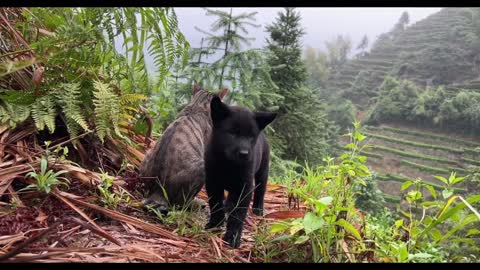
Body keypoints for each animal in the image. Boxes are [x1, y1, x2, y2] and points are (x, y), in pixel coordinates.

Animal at [203, 95, 278, 249]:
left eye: (251, 136)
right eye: (232, 132)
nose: (244, 153)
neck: (229, 164)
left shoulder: (245, 186)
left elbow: (238, 215)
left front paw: (233, 237)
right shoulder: (212, 181)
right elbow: (215, 204)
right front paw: (215, 224)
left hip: (263, 171)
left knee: (261, 190)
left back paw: (258, 209)